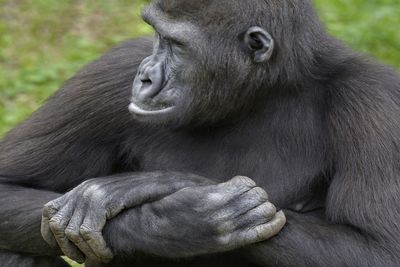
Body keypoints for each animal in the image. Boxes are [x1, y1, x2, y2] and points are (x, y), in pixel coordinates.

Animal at [0, 0, 400, 266]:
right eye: (156, 35)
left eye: (177, 45)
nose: (145, 76)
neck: (262, 92)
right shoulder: (113, 71)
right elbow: (8, 185)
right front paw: (177, 223)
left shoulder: (376, 99)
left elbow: (376, 249)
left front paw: (145, 186)